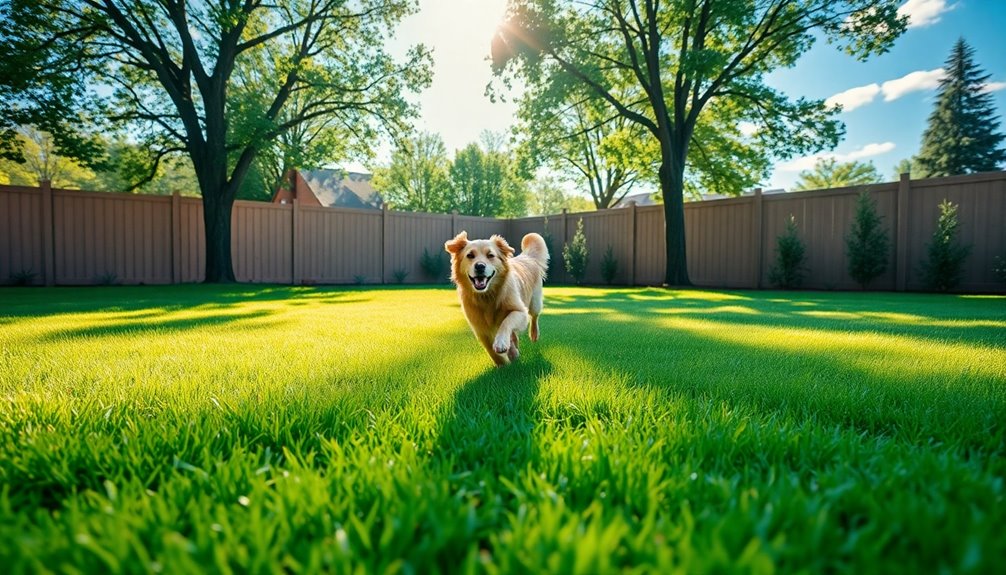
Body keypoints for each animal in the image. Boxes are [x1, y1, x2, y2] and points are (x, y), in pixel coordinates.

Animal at [444, 231, 547, 365]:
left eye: (490, 255)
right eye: (470, 255)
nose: (480, 266)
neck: (487, 295)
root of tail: (527, 257)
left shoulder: (520, 311)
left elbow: (506, 322)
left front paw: (501, 342)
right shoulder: (480, 328)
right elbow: (491, 351)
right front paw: (503, 364)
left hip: (535, 303)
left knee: (534, 317)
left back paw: (533, 334)